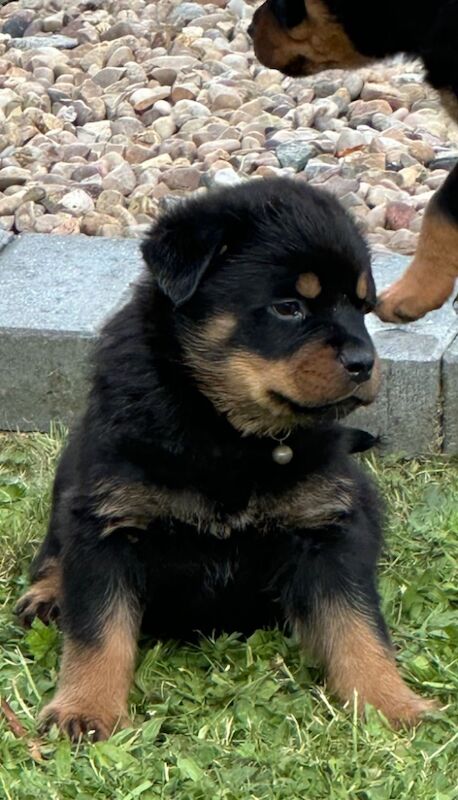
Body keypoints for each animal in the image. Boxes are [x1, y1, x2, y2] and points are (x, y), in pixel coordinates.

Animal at [15, 177, 436, 736]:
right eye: (289, 307)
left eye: (363, 308)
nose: (364, 362)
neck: (227, 430)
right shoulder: (107, 521)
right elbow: (98, 632)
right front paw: (84, 710)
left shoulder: (328, 527)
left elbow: (358, 626)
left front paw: (393, 704)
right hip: (72, 472)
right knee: (53, 550)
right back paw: (48, 594)